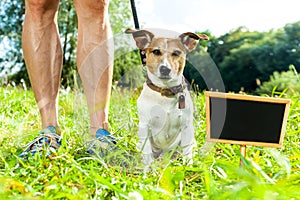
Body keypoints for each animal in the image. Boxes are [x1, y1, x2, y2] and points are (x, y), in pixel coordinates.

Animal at [125, 28, 209, 168]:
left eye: (176, 53)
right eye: (156, 51)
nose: (165, 69)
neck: (165, 91)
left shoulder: (187, 126)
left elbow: (187, 152)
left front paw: (188, 167)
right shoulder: (144, 126)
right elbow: (147, 153)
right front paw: (148, 170)